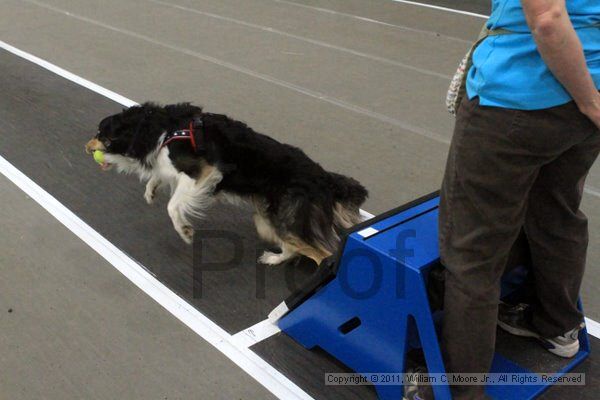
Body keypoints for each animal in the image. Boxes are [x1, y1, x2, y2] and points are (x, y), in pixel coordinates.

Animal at [84, 103, 366, 266]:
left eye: (100, 135)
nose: (85, 148)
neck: (159, 129)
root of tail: (325, 178)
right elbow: (160, 177)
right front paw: (151, 191)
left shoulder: (203, 172)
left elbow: (173, 206)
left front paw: (185, 231)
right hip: (267, 220)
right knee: (294, 248)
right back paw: (273, 259)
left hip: (288, 218)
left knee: (322, 254)